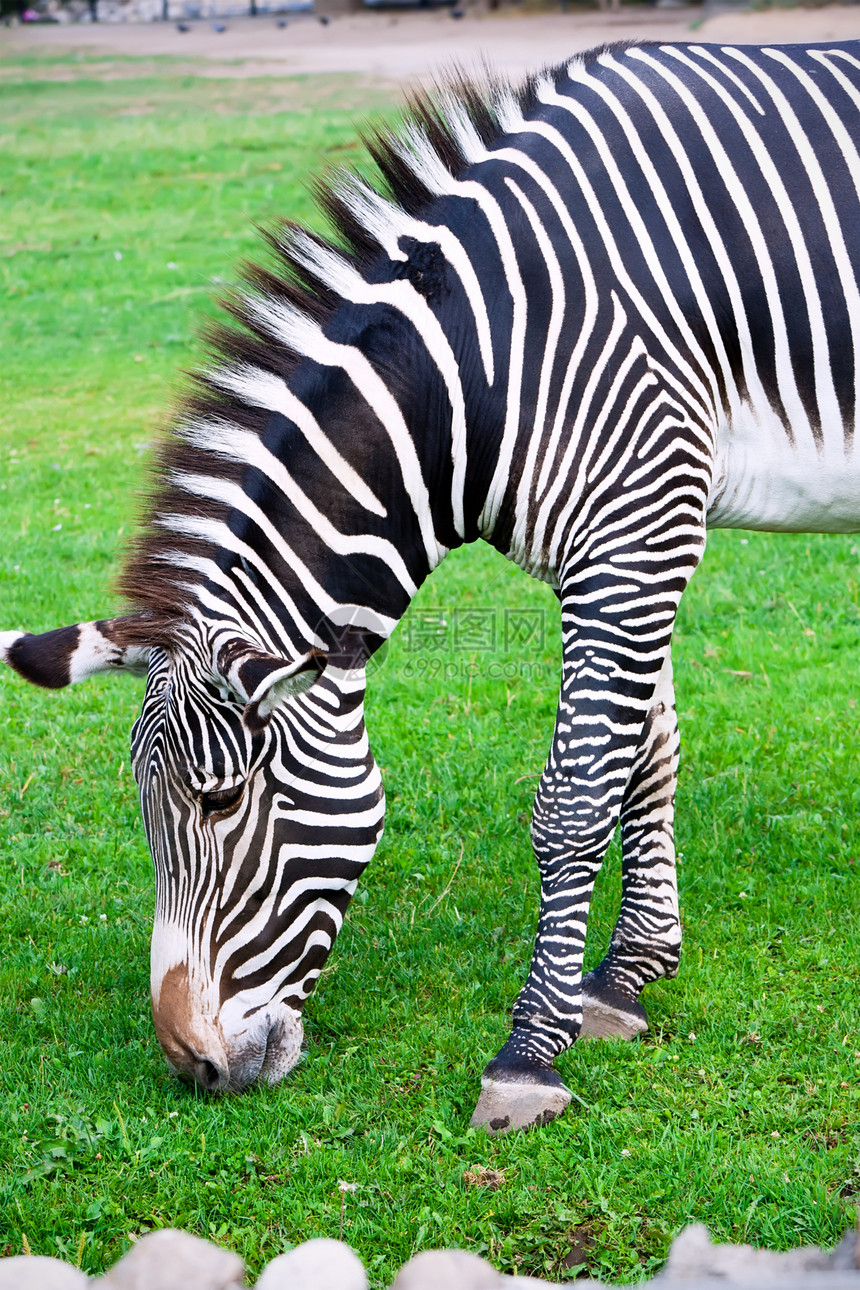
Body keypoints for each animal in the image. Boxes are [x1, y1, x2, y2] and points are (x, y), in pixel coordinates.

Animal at [1, 37, 860, 1130]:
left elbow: (575, 794)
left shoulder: (636, 526)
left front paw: (530, 1054)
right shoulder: (630, 533)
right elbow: (646, 750)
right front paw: (628, 973)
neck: (484, 362)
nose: (189, 1067)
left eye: (221, 802)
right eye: (149, 810)